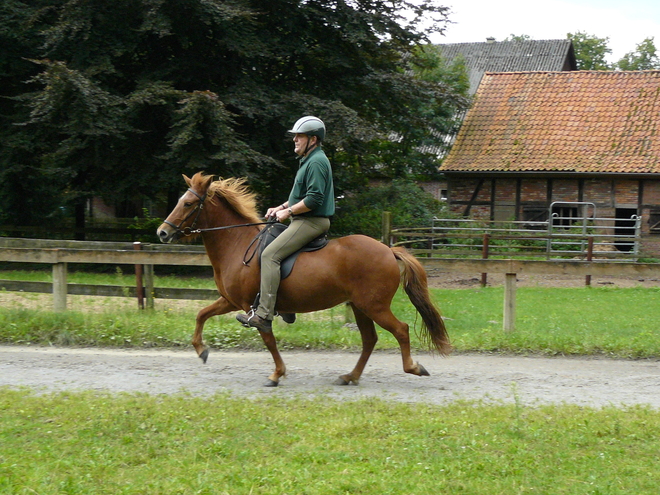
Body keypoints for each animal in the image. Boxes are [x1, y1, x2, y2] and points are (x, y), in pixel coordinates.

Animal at [157, 173, 452, 388]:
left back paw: (412, 367)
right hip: (360, 307)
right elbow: (201, 314)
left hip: (374, 306)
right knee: (369, 340)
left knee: (400, 330)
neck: (237, 243)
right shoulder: (231, 301)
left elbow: (268, 340)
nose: (162, 232)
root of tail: (388, 250)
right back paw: (350, 376)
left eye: (188, 204)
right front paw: (201, 350)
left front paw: (277, 374)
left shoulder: (254, 308)